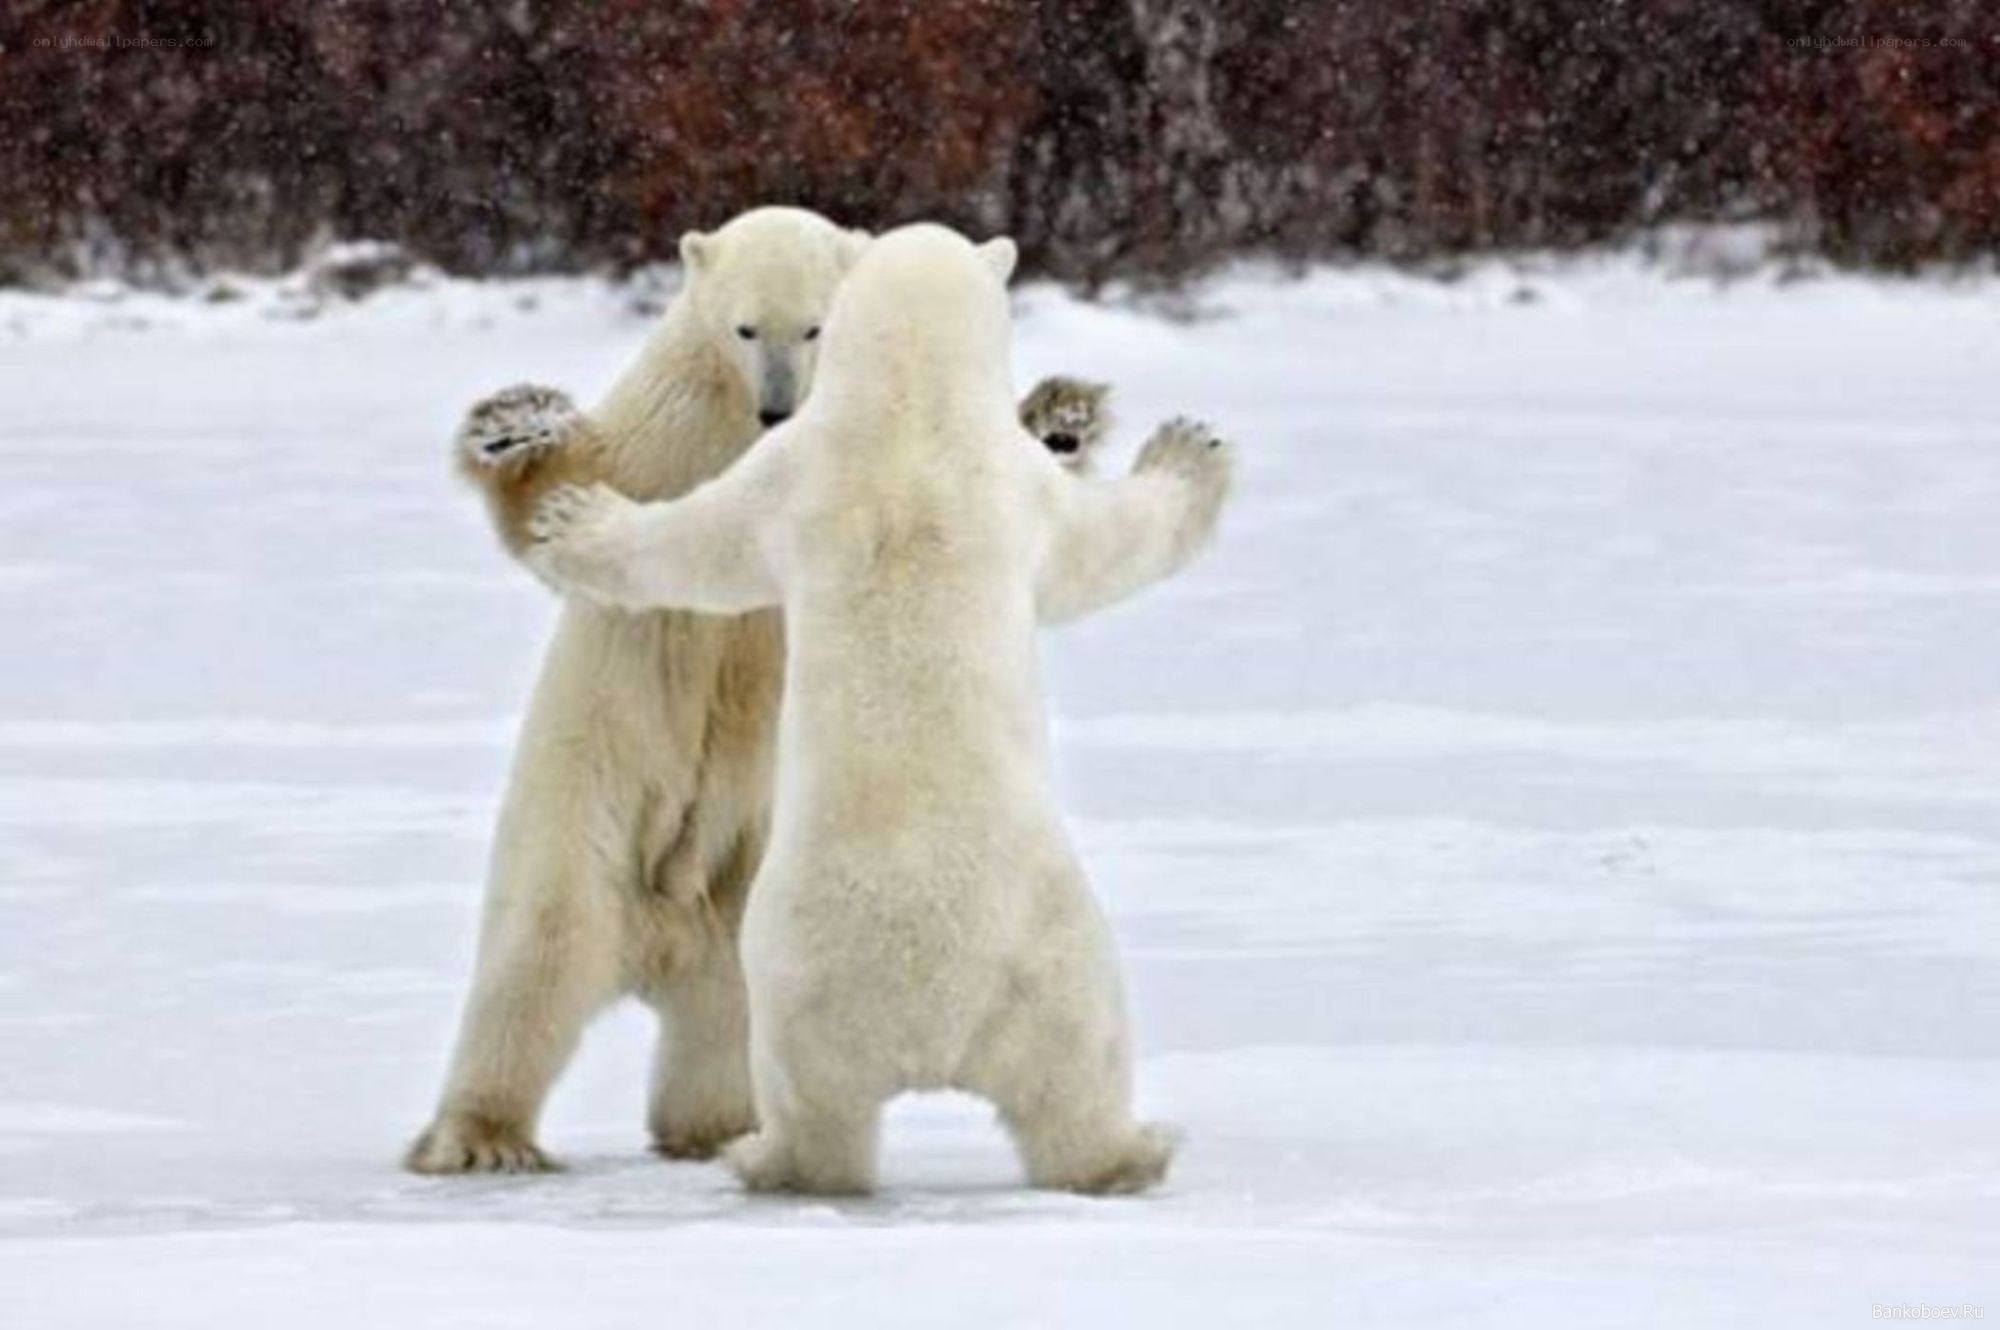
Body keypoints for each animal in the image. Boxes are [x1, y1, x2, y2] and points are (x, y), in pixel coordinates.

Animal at [518, 223, 1233, 1195]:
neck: (910, 403)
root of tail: (931, 1019)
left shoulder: (817, 472)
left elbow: (703, 547)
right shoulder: (861, 473)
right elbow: (1107, 544)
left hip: (941, 975)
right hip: (943, 974)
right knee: (1014, 1098)